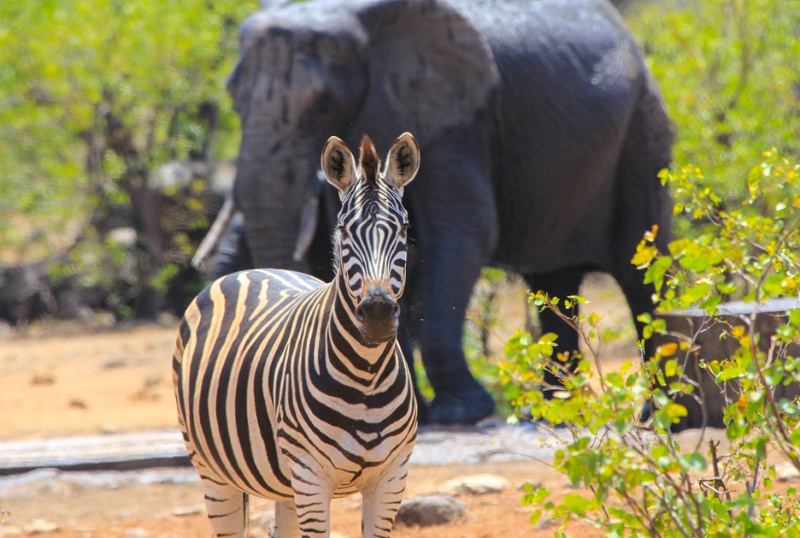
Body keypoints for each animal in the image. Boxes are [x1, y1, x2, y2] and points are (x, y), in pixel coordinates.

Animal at [173, 131, 422, 536]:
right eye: (344, 231)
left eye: (402, 230)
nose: (378, 314)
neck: (367, 376)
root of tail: (252, 269)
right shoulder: (310, 477)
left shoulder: (391, 479)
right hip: (213, 471)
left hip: (285, 485)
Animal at [197, 0, 672, 426]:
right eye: (233, 101)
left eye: (324, 103)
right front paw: (408, 410)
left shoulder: (454, 123)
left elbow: (464, 233)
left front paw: (460, 413)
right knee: (554, 283)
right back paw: (553, 415)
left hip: (643, 131)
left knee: (641, 272)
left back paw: (659, 417)